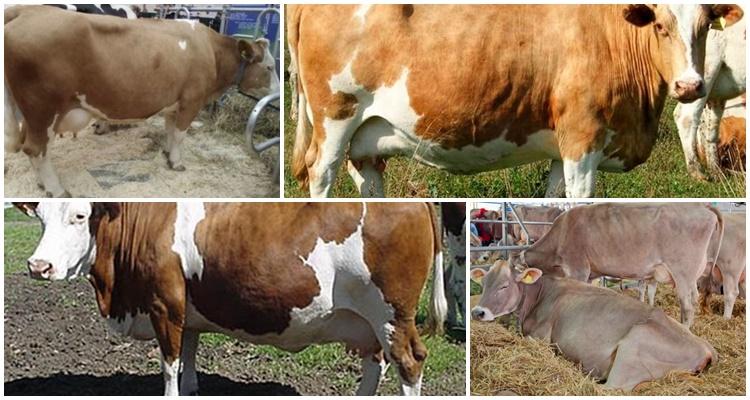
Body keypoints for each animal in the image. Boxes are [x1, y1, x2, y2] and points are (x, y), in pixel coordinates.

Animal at [4, 6, 280, 197]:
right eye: (269, 66)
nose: (278, 93)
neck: (211, 50)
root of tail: (26, 10)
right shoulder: (192, 100)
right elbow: (180, 134)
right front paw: (177, 162)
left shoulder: (174, 103)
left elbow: (170, 130)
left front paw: (167, 153)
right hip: (43, 110)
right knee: (36, 149)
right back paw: (57, 189)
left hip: (30, 114)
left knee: (31, 148)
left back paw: (42, 183)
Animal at [14, 202, 447, 396]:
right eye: (40, 216)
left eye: (80, 216)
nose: (38, 265)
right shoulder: (186, 307)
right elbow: (189, 353)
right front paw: (192, 389)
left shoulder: (163, 305)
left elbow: (169, 364)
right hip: (370, 322)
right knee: (376, 363)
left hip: (392, 315)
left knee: (409, 363)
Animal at [470, 261, 717, 391]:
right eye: (483, 283)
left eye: (504, 285)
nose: (477, 312)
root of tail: (706, 349)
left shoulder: (540, 336)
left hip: (632, 350)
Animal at [518, 203, 724, 328]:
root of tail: (702, 206)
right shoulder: (591, 273)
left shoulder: (578, 268)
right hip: (689, 277)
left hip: (683, 273)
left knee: (687, 306)